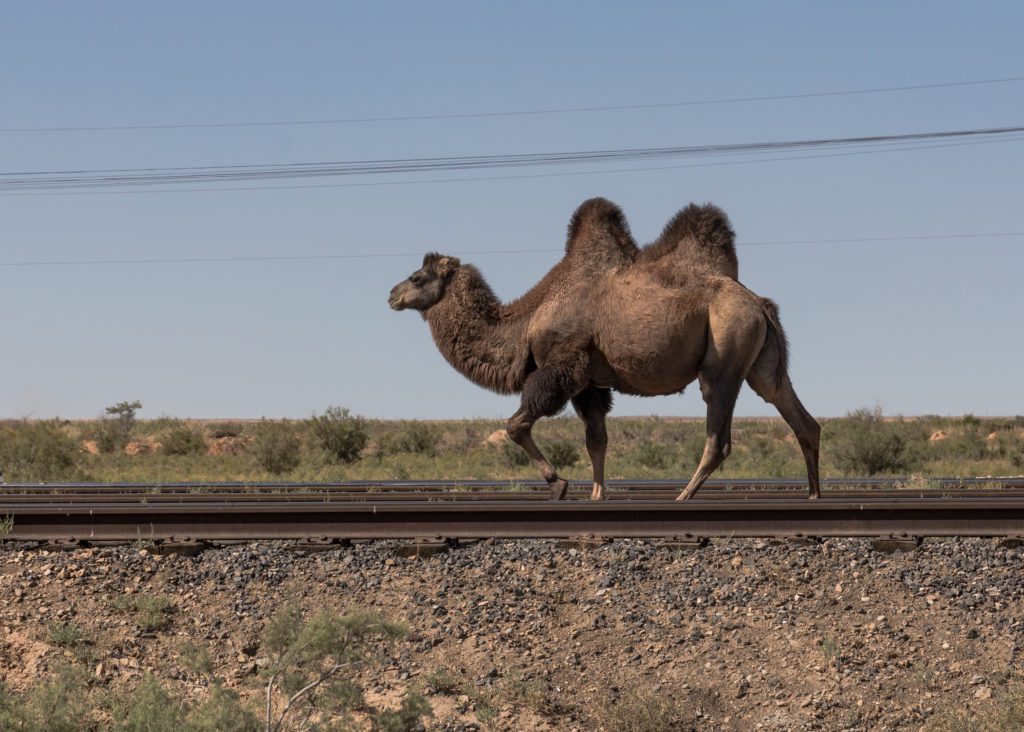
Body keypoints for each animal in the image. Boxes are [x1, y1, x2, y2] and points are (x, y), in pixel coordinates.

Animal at [388, 198, 820, 501]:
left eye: (418, 276)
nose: (392, 294)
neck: (527, 321)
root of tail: (759, 303)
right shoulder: (590, 382)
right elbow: (596, 439)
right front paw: (596, 495)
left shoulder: (561, 363)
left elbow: (517, 423)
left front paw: (558, 483)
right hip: (762, 360)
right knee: (796, 414)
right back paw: (814, 495)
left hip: (726, 348)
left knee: (719, 434)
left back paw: (683, 496)